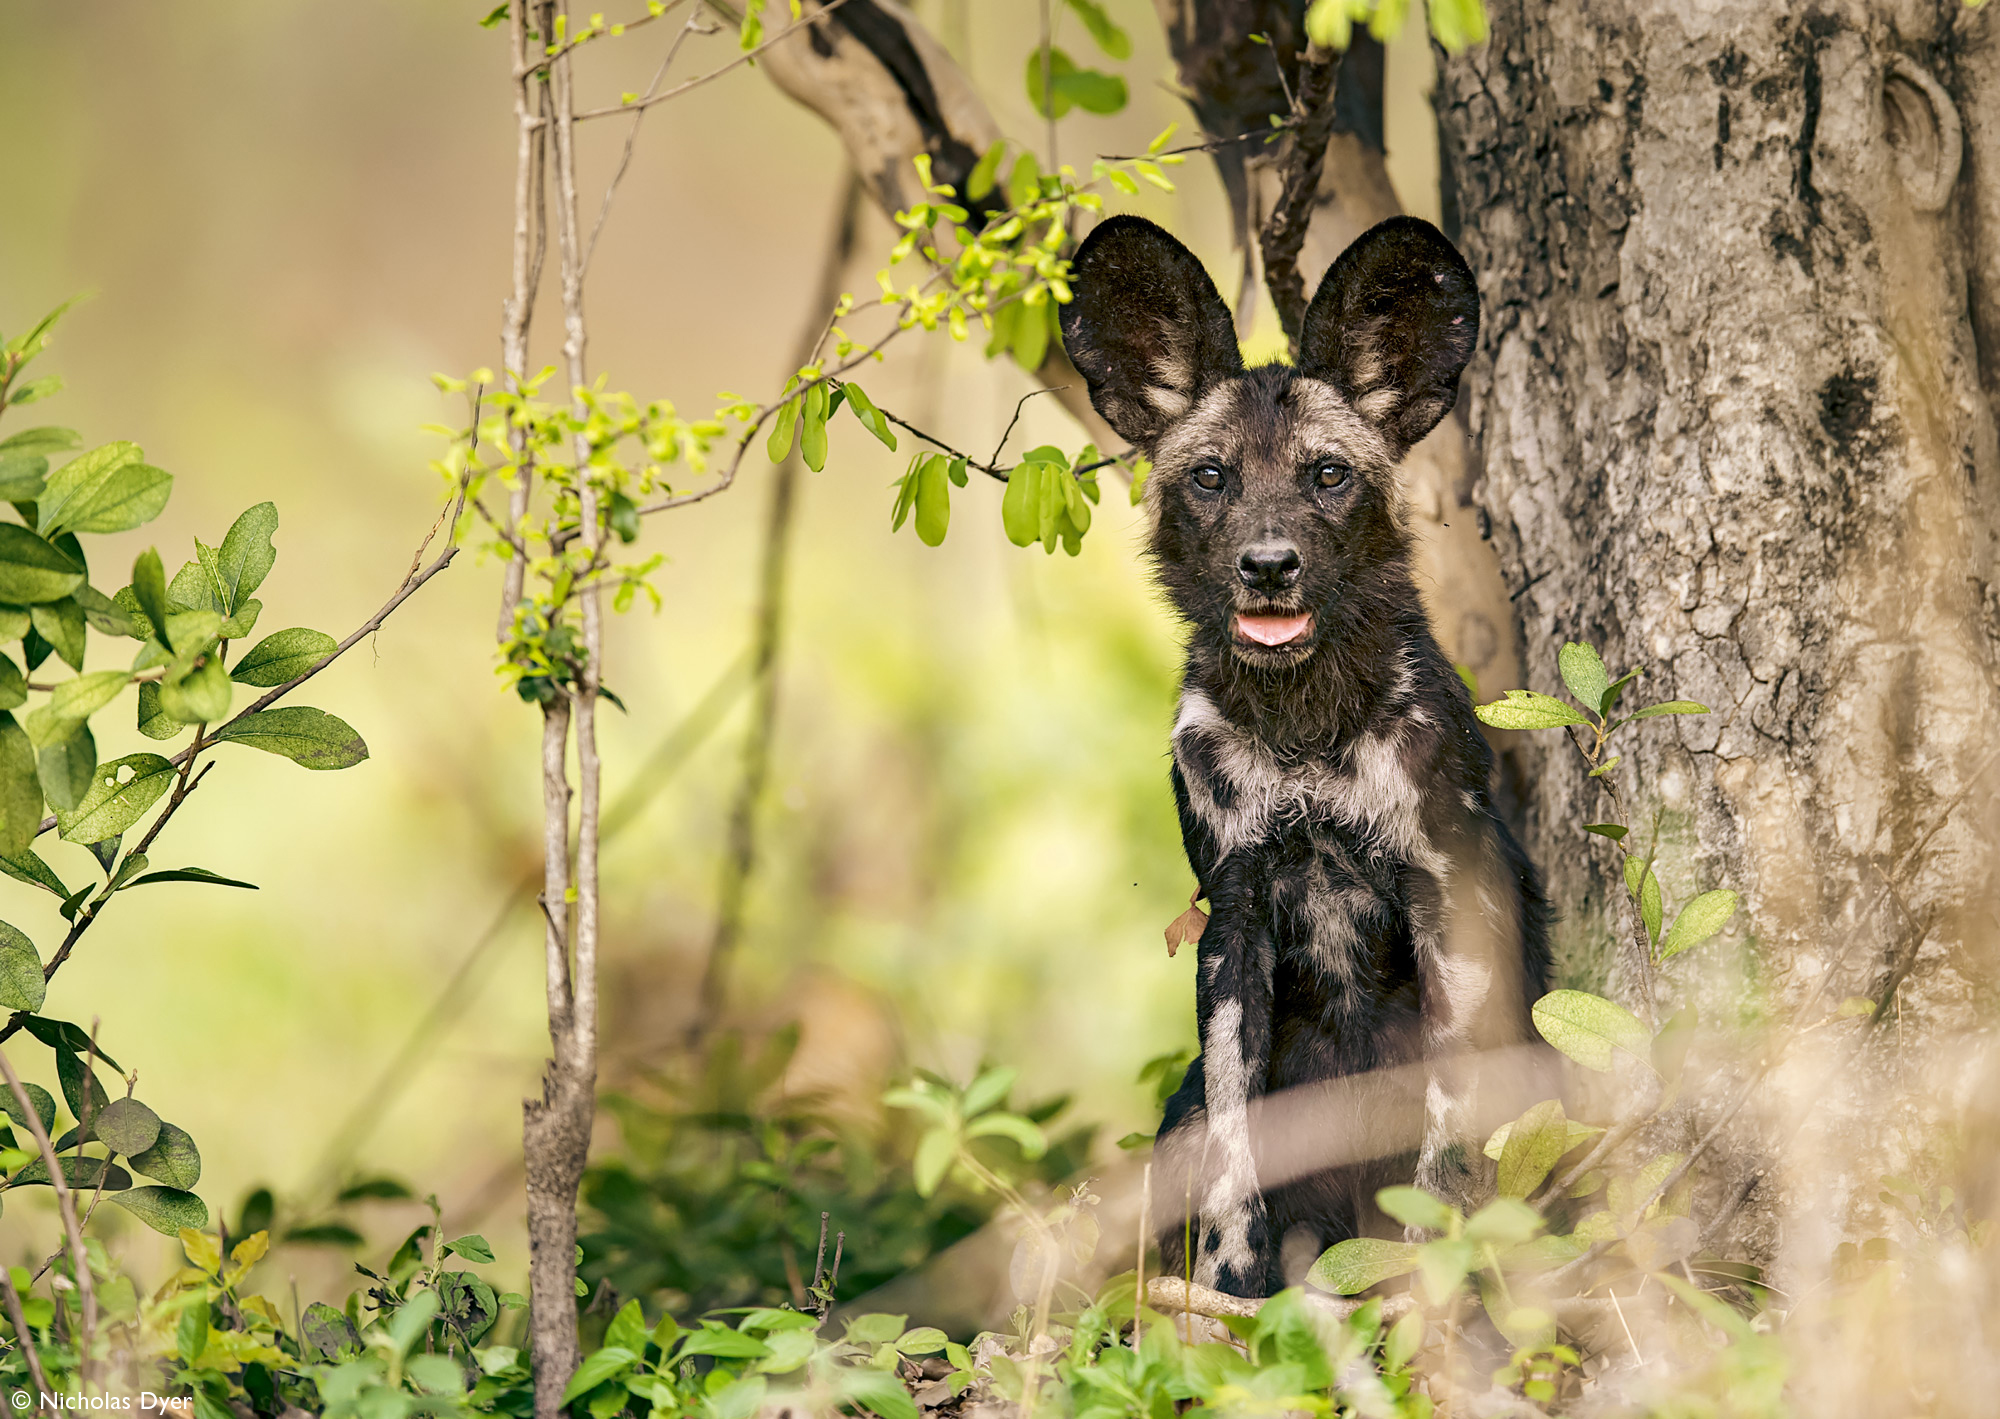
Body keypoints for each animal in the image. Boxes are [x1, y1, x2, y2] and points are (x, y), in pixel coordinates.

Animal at [1064, 213, 1544, 1303]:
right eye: (1211, 477)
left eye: (1328, 474)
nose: (1269, 565)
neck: (1304, 727)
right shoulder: (1233, 917)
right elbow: (1236, 1141)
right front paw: (1239, 1289)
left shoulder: (1443, 901)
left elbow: (1442, 1138)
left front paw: (1427, 1288)